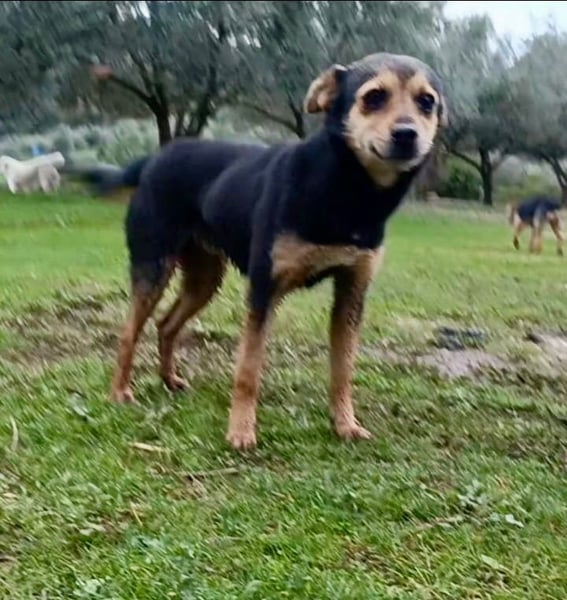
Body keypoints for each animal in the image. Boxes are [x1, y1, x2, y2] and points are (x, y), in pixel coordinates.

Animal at [78, 52, 447, 450]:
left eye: (426, 102)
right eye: (374, 97)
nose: (407, 135)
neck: (346, 190)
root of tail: (152, 160)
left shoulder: (352, 292)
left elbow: (343, 369)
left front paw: (345, 424)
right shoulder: (263, 290)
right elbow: (248, 369)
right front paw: (240, 431)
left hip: (205, 278)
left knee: (166, 324)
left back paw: (169, 380)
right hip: (153, 267)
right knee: (129, 332)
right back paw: (119, 392)